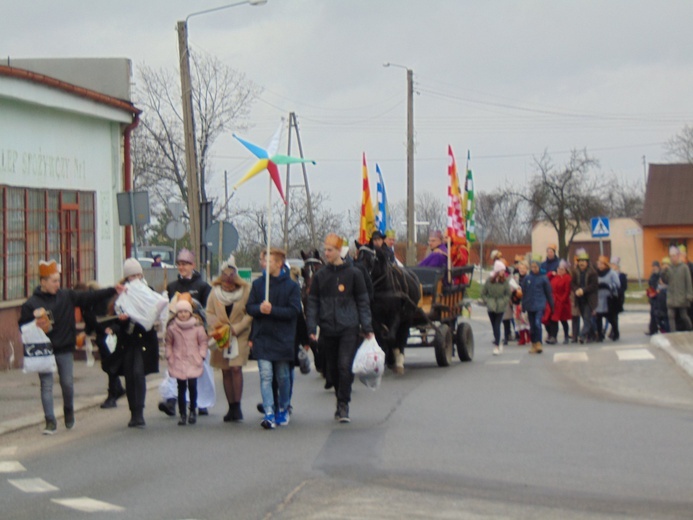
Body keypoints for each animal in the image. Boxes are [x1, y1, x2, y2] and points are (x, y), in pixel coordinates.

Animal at [354, 242, 418, 372]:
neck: (382, 289)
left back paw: (399, 361)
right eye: (357, 258)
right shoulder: (374, 318)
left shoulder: (396, 315)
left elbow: (391, 338)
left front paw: (392, 359)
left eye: (369, 259)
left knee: (402, 337)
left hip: (407, 319)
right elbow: (381, 339)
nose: (360, 278)